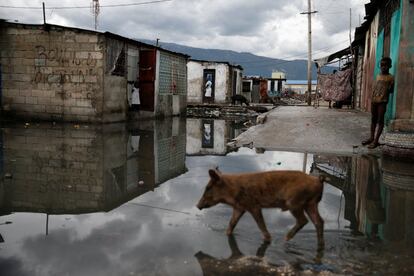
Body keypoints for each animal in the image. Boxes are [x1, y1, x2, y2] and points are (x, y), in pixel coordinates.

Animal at [197, 168, 326, 248]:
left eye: (208, 187)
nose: (197, 205)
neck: (232, 191)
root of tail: (318, 180)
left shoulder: (253, 205)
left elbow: (260, 224)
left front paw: (268, 239)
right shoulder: (239, 207)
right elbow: (232, 223)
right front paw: (226, 233)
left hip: (294, 203)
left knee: (304, 220)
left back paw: (286, 238)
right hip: (311, 204)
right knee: (319, 221)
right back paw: (320, 245)